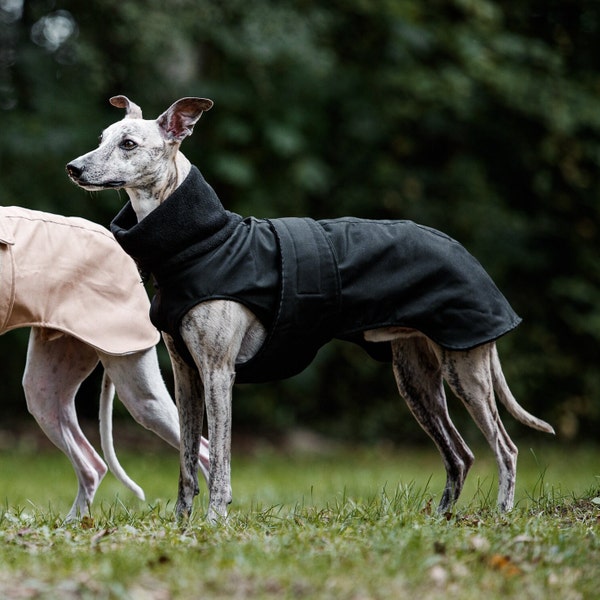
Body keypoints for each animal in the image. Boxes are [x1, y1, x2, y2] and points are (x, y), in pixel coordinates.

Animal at [65, 96, 552, 524]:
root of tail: (467, 255)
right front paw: (181, 523)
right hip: (416, 378)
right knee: (461, 454)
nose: (74, 168)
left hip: (465, 368)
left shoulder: (219, 372)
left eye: (129, 144)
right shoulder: (186, 374)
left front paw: (215, 520)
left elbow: (218, 459)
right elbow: (187, 460)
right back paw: (442, 518)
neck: (201, 242)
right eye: (103, 136)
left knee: (505, 448)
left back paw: (502, 514)